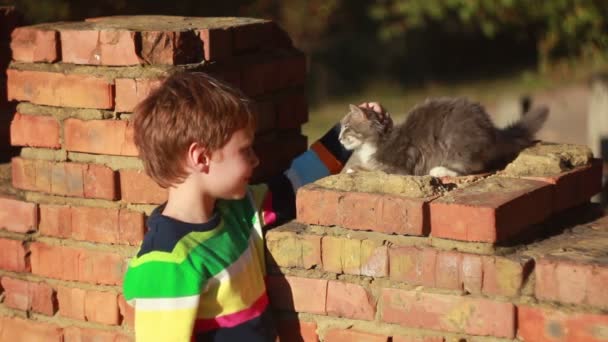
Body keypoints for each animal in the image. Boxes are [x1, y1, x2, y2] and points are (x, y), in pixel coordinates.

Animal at [340, 96, 548, 176]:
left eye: (347, 127)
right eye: (341, 128)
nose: (339, 138)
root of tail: (491, 128)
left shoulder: (398, 168)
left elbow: (373, 169)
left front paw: (354, 168)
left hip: (457, 140)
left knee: (471, 167)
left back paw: (440, 170)